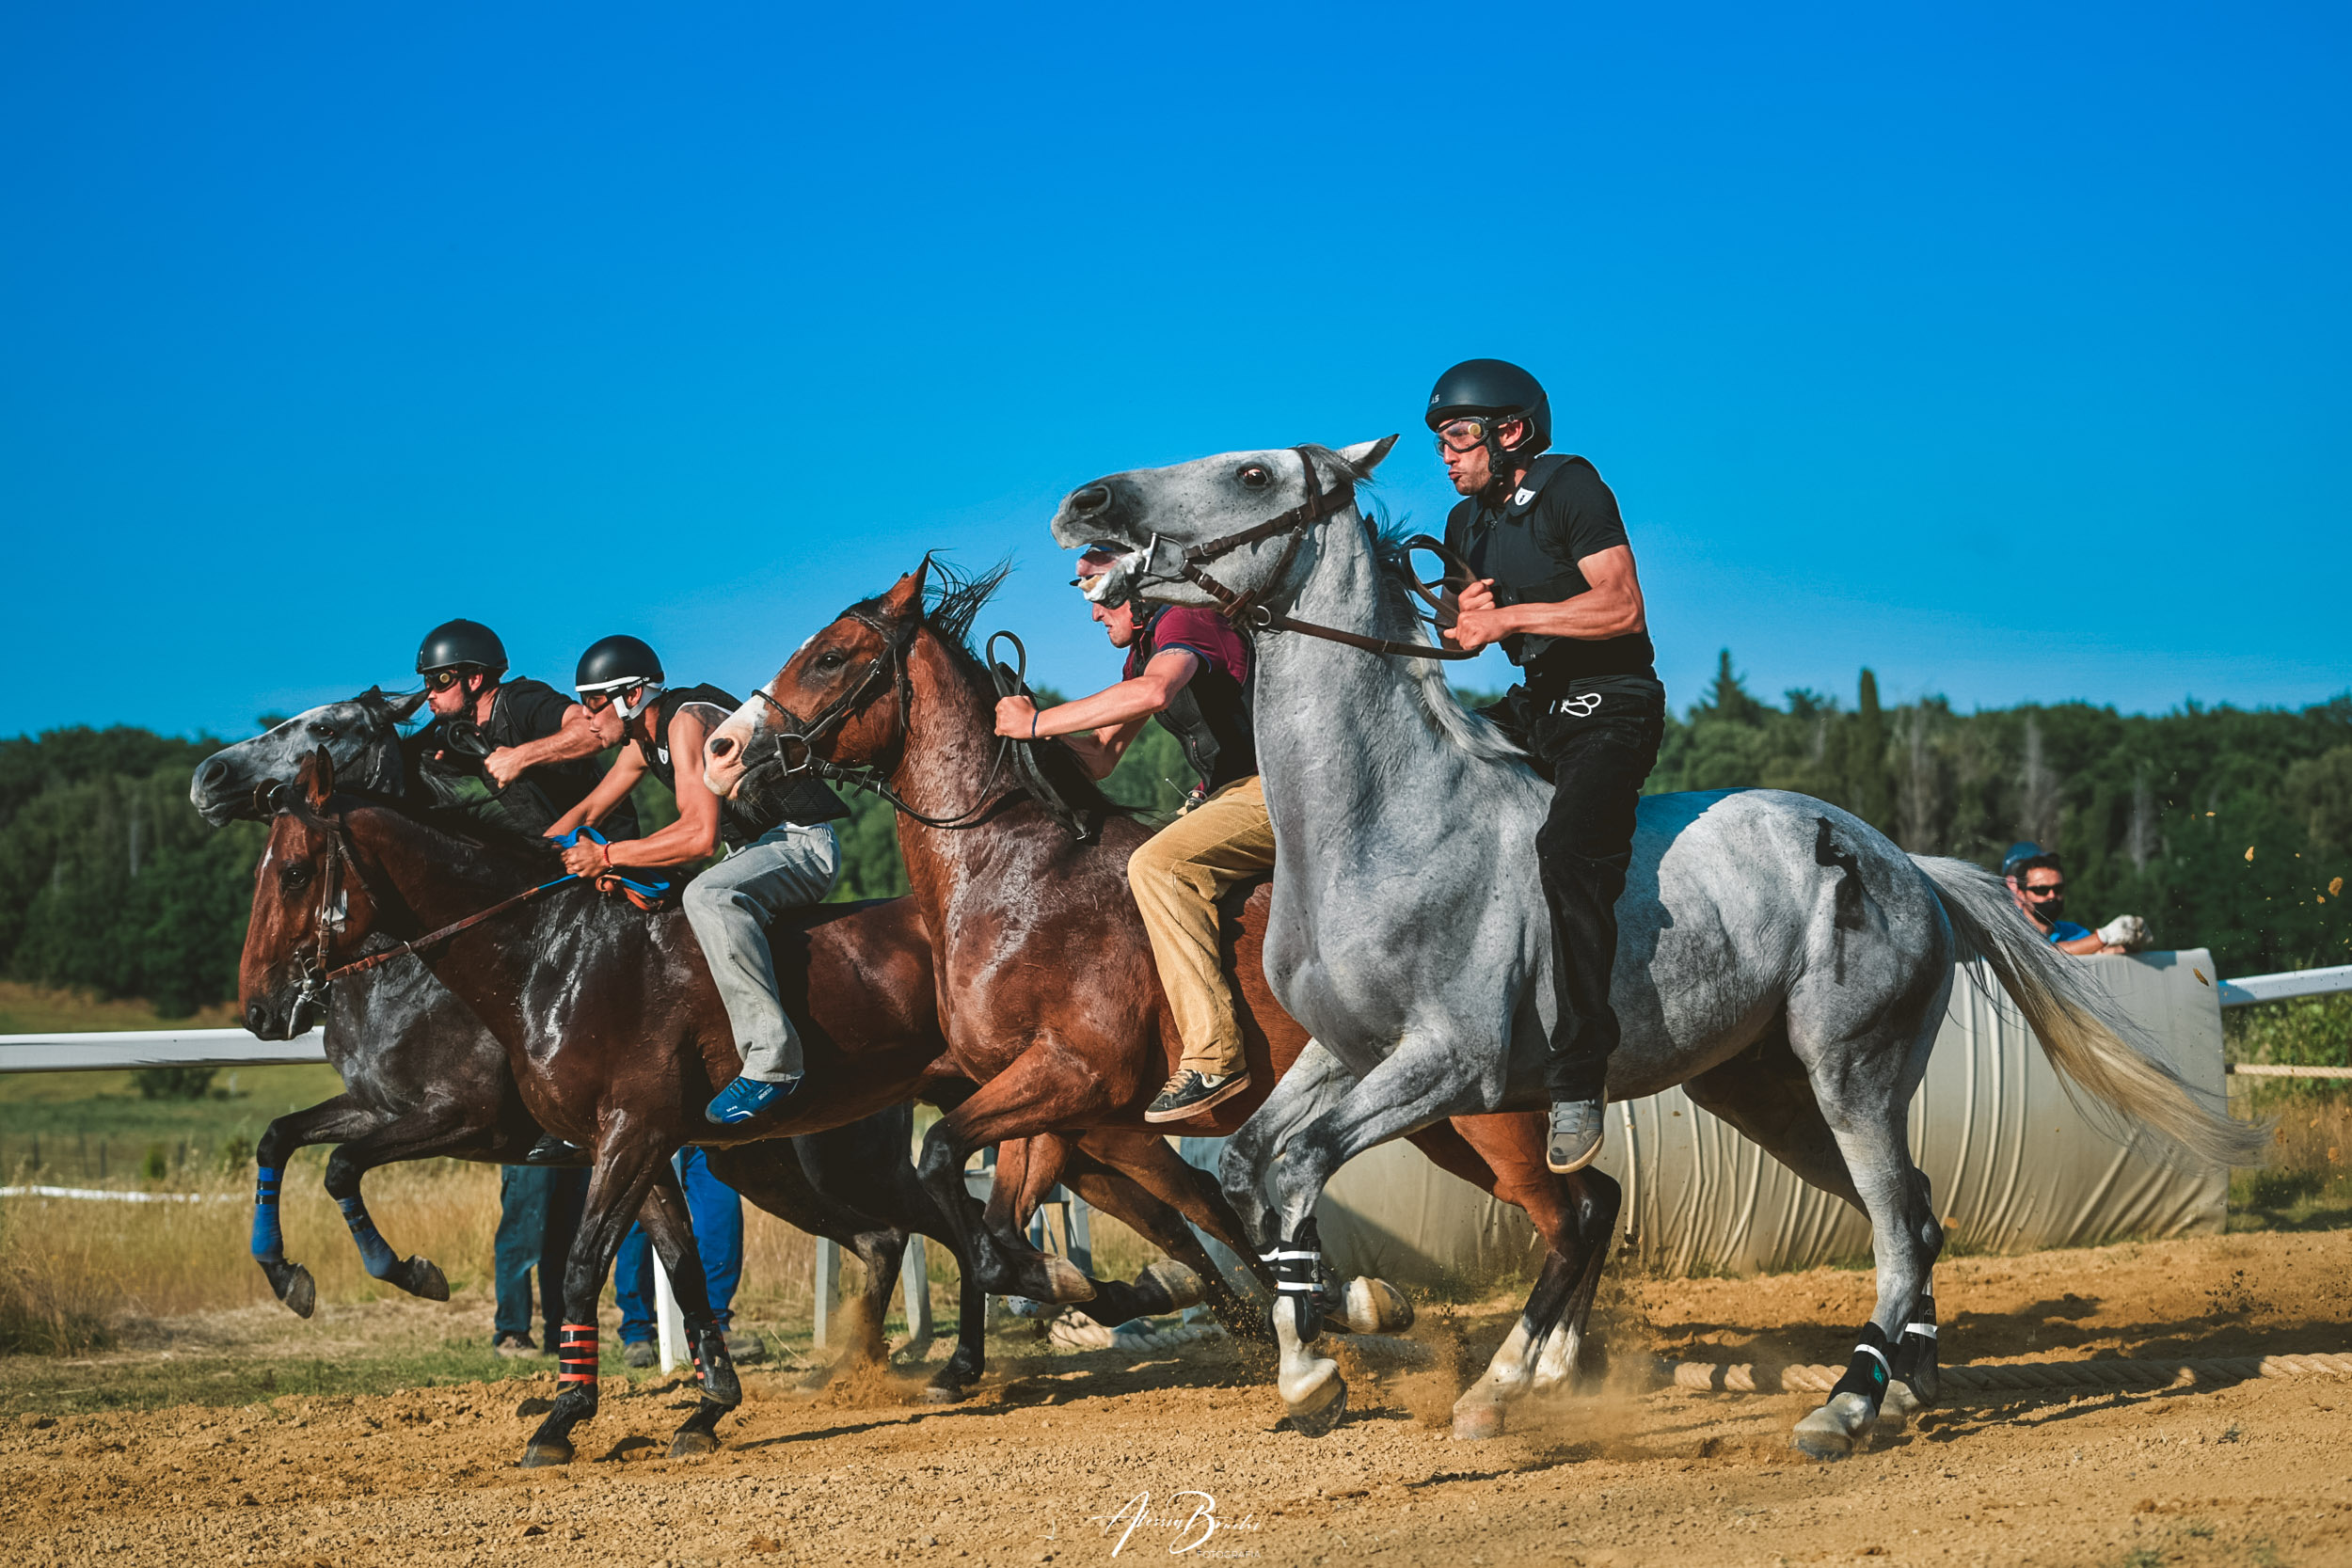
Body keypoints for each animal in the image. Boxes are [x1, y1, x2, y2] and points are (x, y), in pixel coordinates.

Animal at [190, 690, 983, 1391]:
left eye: (294, 873)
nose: (261, 1007)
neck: (542, 949)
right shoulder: (386, 1105)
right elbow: (283, 1138)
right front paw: (286, 1273)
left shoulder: (470, 1118)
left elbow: (341, 1165)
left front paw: (412, 1272)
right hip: (767, 1161)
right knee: (891, 1234)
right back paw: (863, 1367)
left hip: (843, 1156)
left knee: (940, 1221)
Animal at [696, 562, 1618, 1438]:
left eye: (829, 656)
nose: (723, 747)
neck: (1008, 874)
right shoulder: (1053, 1109)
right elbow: (1000, 1225)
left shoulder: (1077, 1077)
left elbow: (953, 1171)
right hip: (1444, 1125)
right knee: (1595, 1198)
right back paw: (1557, 1366)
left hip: (1486, 1117)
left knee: (1570, 1214)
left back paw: (1510, 1382)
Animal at [1054, 435, 2258, 1457]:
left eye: (1254, 472)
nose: (1085, 503)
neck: (1383, 819)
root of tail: (1909, 864)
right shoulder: (1343, 1051)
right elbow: (1252, 1166)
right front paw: (1329, 1341)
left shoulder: (1450, 1065)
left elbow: (1302, 1165)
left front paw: (1317, 1375)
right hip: (1763, 1092)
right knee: (1909, 1210)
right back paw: (1896, 1382)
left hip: (1848, 1071)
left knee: (1887, 1224)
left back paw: (1840, 1401)